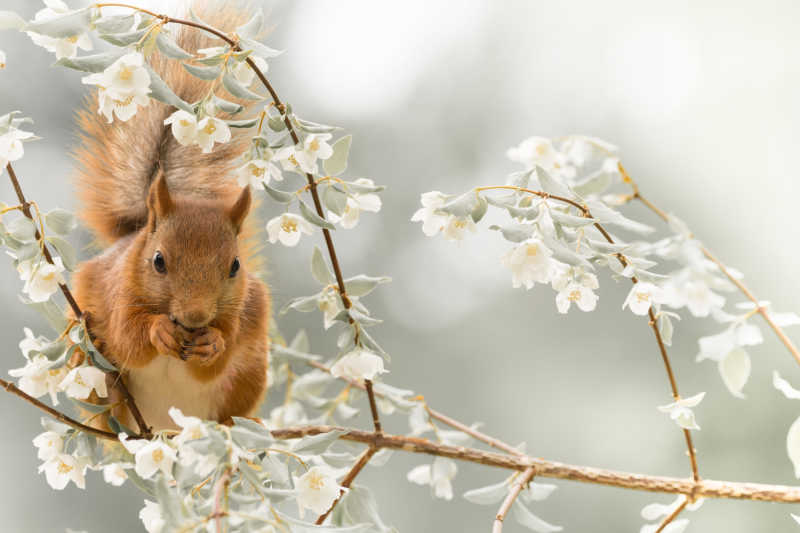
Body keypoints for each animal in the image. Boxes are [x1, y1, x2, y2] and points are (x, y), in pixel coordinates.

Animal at [69, 7, 268, 432]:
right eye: (158, 261)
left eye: (235, 266)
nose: (195, 317)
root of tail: (164, 428)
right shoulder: (118, 292)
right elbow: (129, 337)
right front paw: (157, 330)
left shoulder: (240, 311)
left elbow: (217, 358)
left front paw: (212, 343)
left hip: (249, 377)